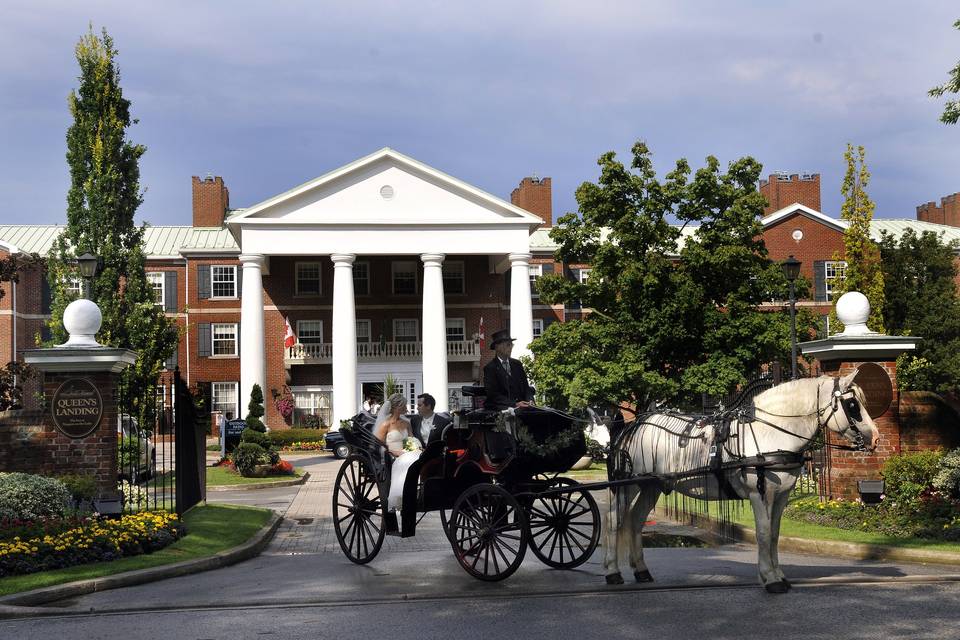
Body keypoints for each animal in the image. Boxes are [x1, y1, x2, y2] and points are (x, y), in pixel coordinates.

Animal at [604, 372, 880, 592]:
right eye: (853, 405)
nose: (875, 438)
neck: (772, 432)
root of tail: (633, 426)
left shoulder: (781, 495)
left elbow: (774, 534)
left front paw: (778, 574)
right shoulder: (759, 493)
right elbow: (763, 533)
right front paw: (770, 579)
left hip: (651, 486)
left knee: (635, 520)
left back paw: (641, 570)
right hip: (628, 484)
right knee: (613, 520)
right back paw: (612, 572)